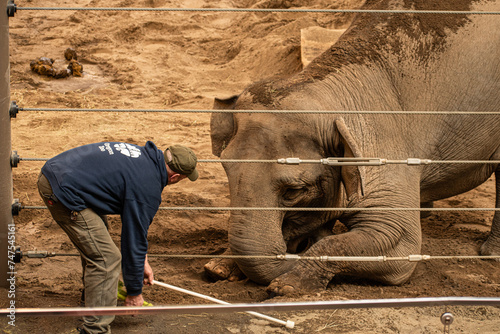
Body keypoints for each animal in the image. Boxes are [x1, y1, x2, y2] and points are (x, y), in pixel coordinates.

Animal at [203, 0, 500, 294]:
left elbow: (399, 243)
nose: (298, 248)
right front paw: (217, 268)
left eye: (294, 191)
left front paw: (287, 286)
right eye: (226, 170)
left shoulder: (384, 149)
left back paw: (489, 254)